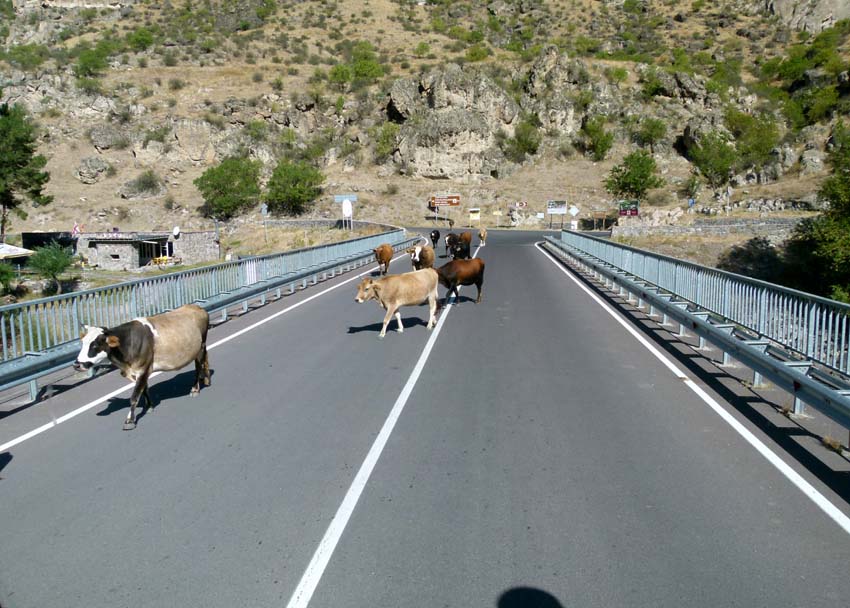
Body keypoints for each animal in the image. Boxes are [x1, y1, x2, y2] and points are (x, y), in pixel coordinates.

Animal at [74, 304, 211, 430]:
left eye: (95, 345)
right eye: (83, 343)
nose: (77, 364)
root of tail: (196, 307)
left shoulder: (143, 369)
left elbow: (134, 396)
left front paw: (129, 420)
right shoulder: (138, 372)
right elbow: (144, 389)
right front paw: (149, 406)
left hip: (200, 347)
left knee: (198, 366)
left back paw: (195, 389)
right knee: (204, 362)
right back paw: (206, 379)